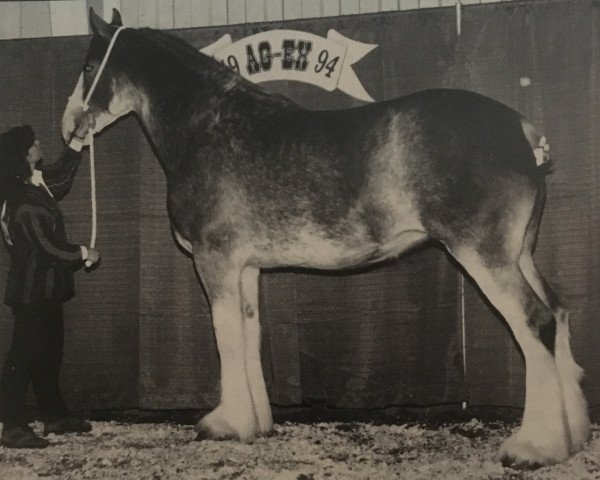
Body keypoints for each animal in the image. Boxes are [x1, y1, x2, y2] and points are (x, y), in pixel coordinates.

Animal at [62, 8, 592, 468]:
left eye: (89, 66)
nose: (69, 126)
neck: (208, 127)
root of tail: (521, 130)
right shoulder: (246, 267)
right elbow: (249, 334)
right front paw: (256, 422)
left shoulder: (215, 261)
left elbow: (226, 336)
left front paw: (225, 424)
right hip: (520, 254)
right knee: (558, 313)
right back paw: (572, 437)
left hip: (485, 255)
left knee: (535, 323)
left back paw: (532, 447)